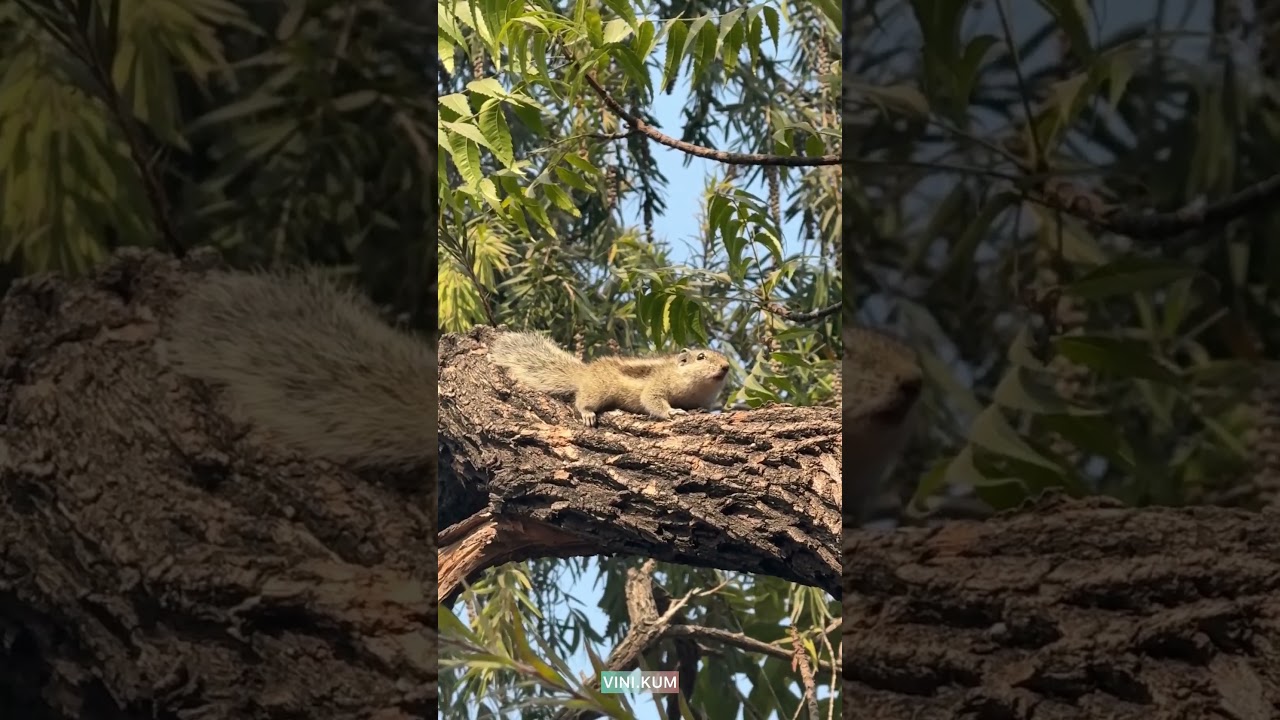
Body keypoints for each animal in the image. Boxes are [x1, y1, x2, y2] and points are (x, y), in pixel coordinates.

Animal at [488, 332, 731, 426]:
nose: (727, 367)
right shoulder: (658, 384)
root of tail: (585, 373)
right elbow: (652, 400)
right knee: (582, 401)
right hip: (598, 391)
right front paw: (673, 412)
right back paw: (587, 413)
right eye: (701, 357)